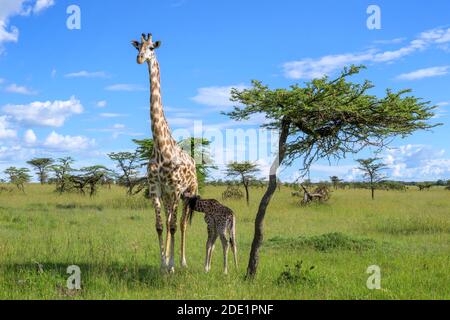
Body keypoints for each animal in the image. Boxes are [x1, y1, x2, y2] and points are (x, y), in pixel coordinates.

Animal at [132, 33, 199, 272]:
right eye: (138, 47)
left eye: (152, 47)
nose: (140, 58)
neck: (161, 146)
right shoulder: (156, 188)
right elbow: (160, 225)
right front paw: (162, 264)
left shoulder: (177, 188)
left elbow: (172, 226)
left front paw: (171, 265)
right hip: (170, 195)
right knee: (171, 219)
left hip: (188, 193)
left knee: (181, 223)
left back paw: (182, 262)